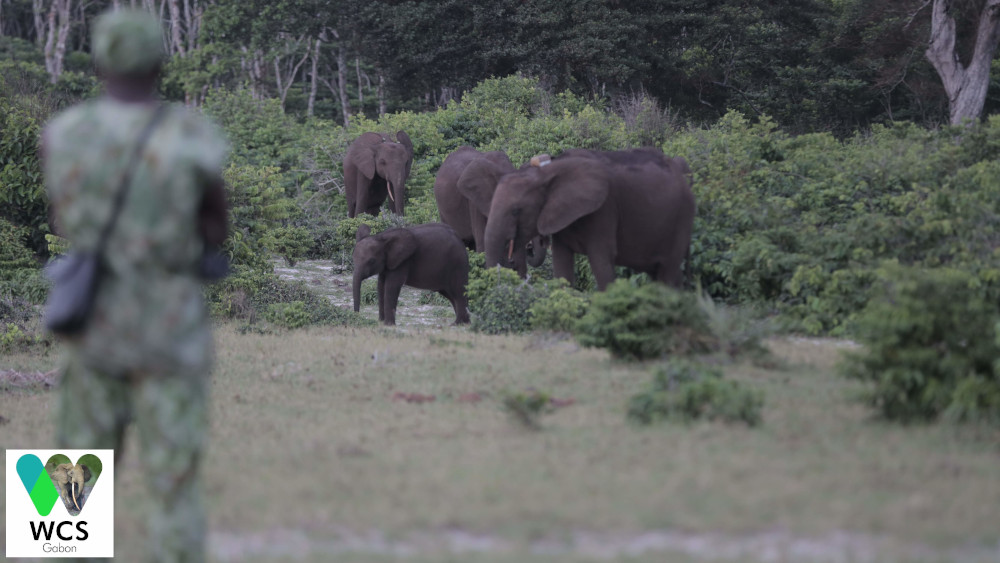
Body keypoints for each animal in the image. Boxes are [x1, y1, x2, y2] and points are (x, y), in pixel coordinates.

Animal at [484, 150, 696, 290]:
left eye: (515, 211)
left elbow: (601, 262)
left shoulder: (604, 210)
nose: (529, 248)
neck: (547, 172)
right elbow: (562, 266)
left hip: (682, 217)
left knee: (668, 272)